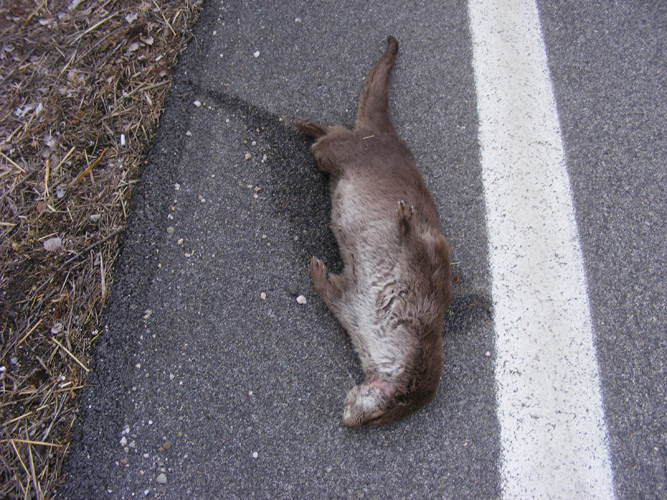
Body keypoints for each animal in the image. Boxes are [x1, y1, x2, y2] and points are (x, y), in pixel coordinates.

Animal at [298, 37, 452, 426]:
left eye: (372, 420)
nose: (347, 419)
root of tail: (384, 136)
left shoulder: (353, 305)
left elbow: (332, 292)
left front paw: (318, 271)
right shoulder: (429, 277)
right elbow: (422, 246)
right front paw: (405, 219)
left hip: (342, 154)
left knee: (332, 135)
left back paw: (306, 126)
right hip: (353, 151)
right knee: (334, 137)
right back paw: (303, 124)